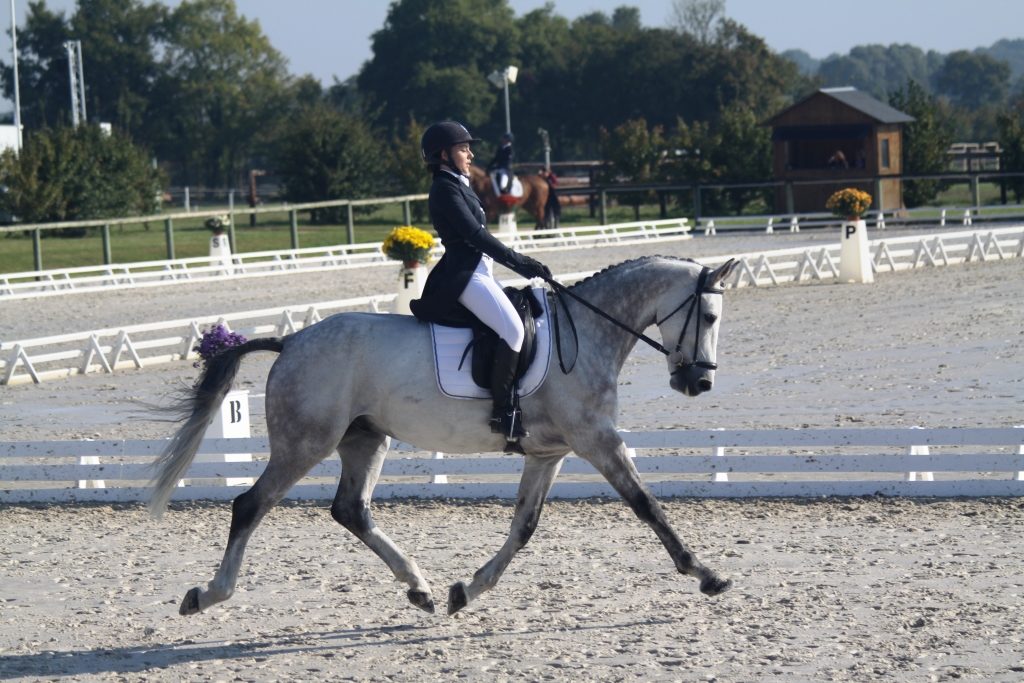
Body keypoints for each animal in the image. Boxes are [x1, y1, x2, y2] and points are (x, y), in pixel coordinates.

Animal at [149, 253, 737, 618]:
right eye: (708, 315)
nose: (700, 383)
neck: (588, 333)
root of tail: (291, 342)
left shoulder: (548, 453)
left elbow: (523, 527)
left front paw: (465, 591)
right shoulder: (598, 440)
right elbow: (646, 505)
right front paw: (705, 574)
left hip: (365, 439)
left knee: (351, 510)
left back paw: (420, 587)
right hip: (305, 443)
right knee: (250, 505)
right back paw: (208, 594)